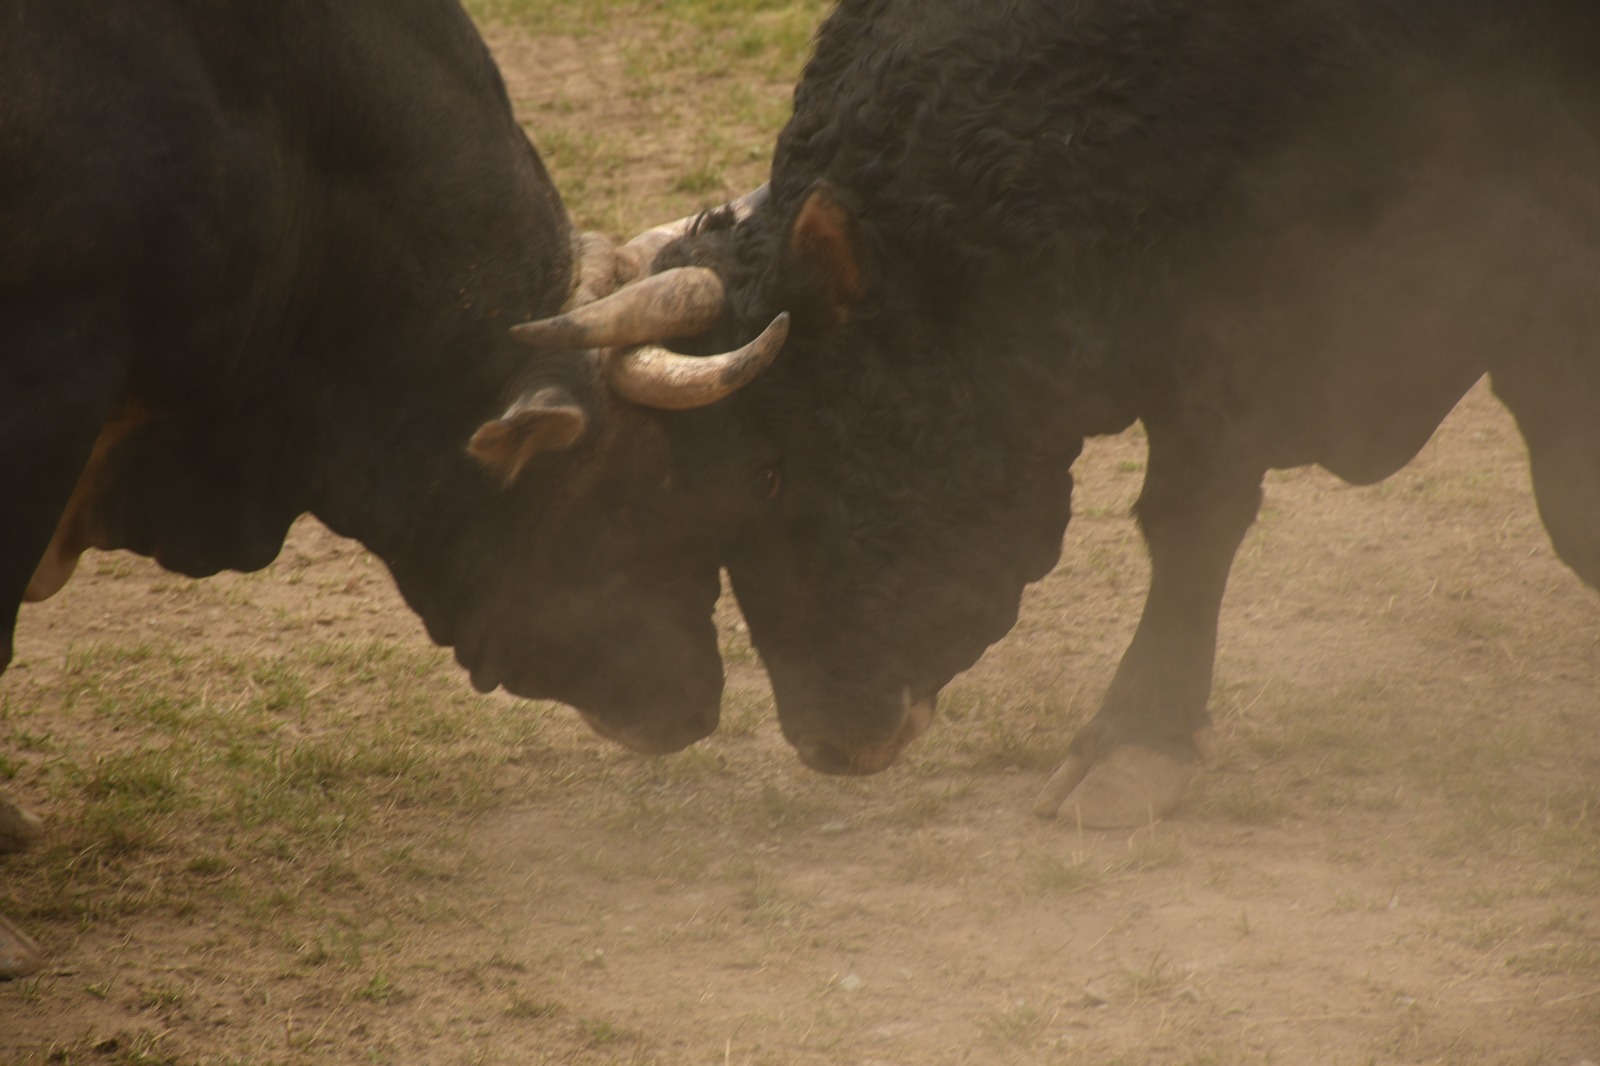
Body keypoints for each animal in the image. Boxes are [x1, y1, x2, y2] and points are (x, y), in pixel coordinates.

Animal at [524, 0, 1600, 819]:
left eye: (771, 470)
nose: (827, 738)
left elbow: (1570, 510)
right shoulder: (1206, 322)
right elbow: (1191, 519)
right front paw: (1142, 738)